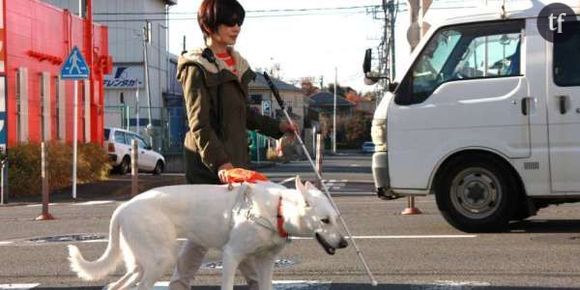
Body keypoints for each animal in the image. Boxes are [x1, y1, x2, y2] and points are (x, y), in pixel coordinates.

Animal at [68, 177, 348, 290]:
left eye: (337, 218)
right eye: (324, 220)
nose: (345, 244)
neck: (276, 210)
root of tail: (124, 206)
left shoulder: (265, 262)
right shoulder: (231, 256)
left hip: (140, 263)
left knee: (115, 286)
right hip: (160, 260)